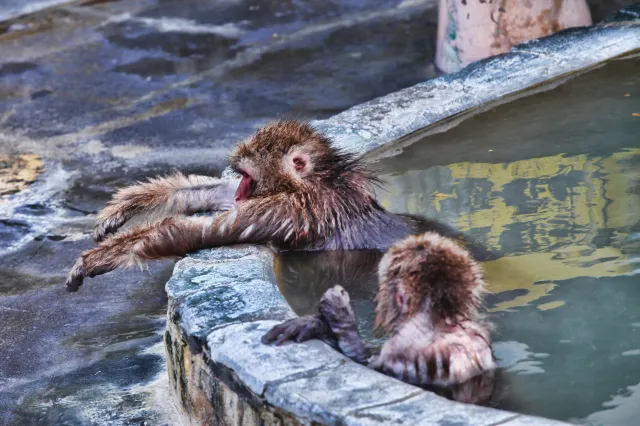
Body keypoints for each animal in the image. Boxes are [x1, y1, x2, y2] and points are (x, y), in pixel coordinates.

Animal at [67, 121, 492, 292]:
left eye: (253, 158)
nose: (237, 161)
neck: (320, 182)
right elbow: (216, 196)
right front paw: (125, 209)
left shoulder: (292, 209)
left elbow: (207, 230)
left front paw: (98, 258)